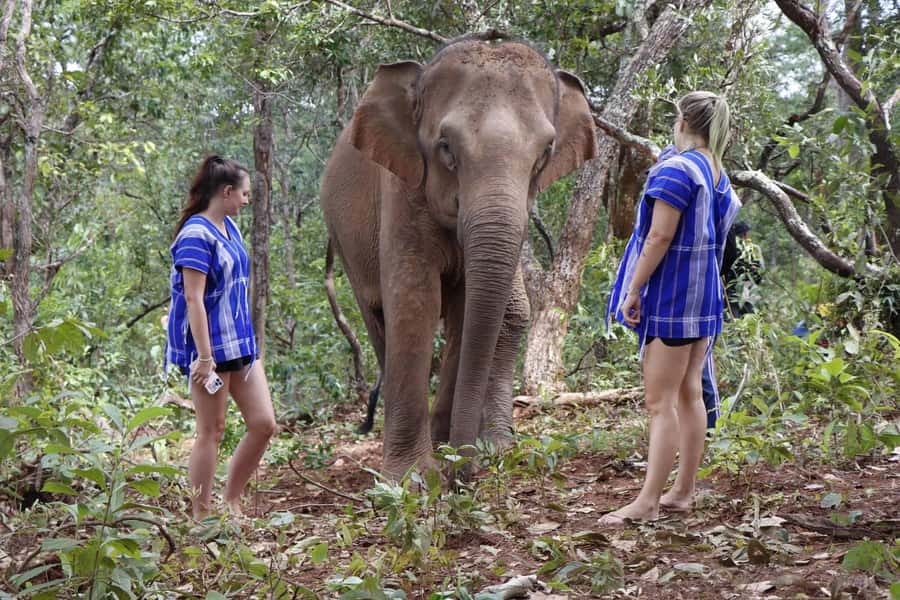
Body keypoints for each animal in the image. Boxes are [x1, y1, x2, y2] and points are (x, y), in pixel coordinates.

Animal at [320, 35, 598, 480]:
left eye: (545, 152)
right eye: (445, 147)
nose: (464, 474)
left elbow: (468, 307)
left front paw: (448, 456)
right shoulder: (402, 190)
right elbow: (415, 302)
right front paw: (414, 478)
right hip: (343, 240)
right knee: (377, 319)